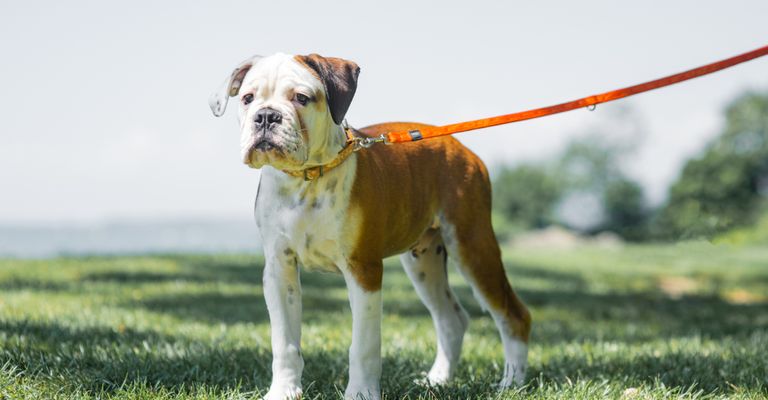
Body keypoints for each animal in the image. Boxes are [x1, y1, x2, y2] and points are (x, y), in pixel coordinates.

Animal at [210, 53, 536, 400]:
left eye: (301, 98)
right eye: (248, 98)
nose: (266, 117)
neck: (307, 178)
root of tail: (460, 147)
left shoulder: (363, 270)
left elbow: (364, 345)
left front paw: (361, 393)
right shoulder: (278, 270)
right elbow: (284, 341)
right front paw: (283, 391)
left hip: (472, 246)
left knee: (514, 315)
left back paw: (511, 383)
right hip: (424, 261)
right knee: (452, 319)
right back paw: (437, 381)